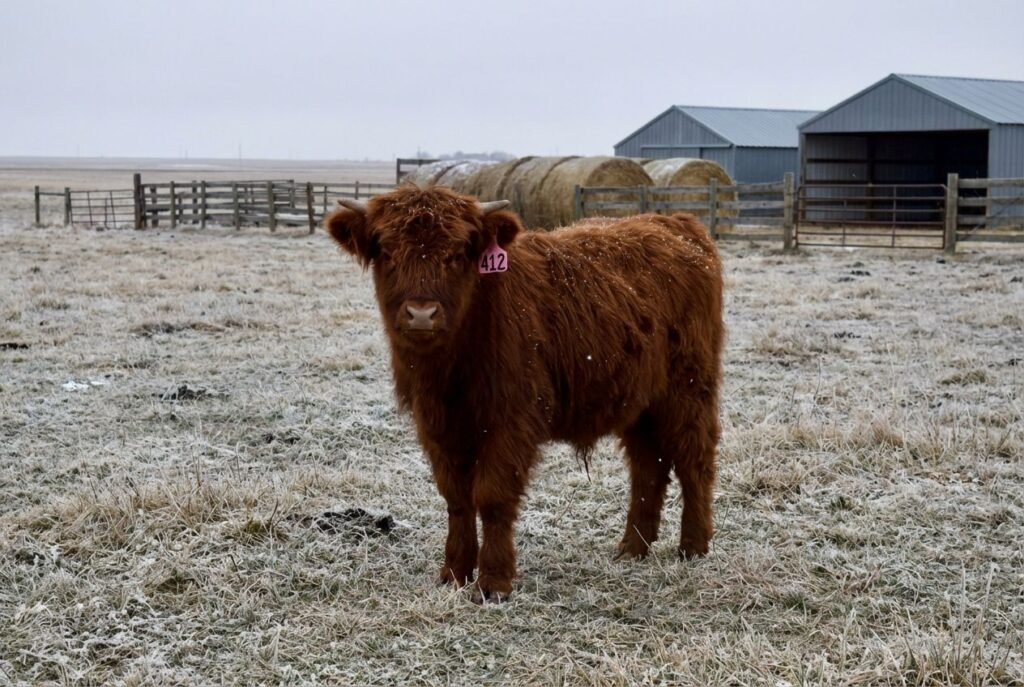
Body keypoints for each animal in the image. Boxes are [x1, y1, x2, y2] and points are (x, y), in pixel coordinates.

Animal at [324, 185, 724, 602]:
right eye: (386, 251)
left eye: (457, 253)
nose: (421, 314)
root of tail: (675, 223)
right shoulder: (437, 425)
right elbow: (456, 498)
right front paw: (454, 573)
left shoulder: (511, 420)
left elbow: (492, 496)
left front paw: (493, 583)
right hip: (641, 402)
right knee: (649, 466)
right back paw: (633, 548)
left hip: (689, 390)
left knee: (694, 460)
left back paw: (693, 546)